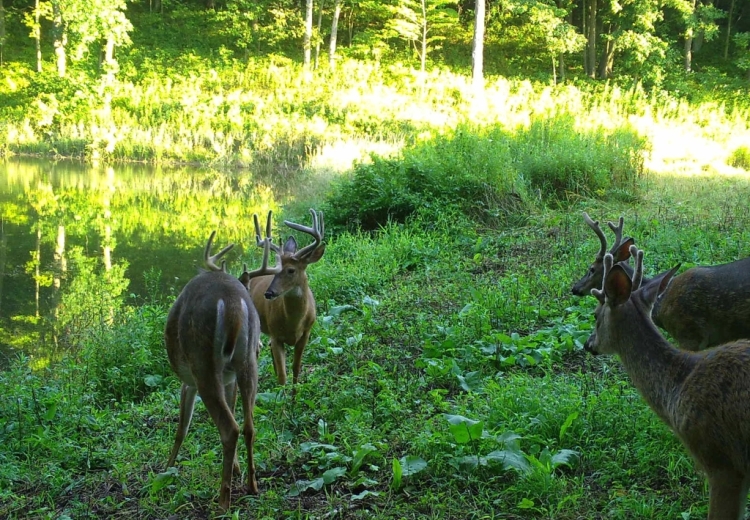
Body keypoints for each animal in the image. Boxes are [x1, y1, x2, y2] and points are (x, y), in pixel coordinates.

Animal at [164, 217, 282, 510]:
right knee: (248, 425)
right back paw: (252, 485)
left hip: (203, 363)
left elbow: (182, 427)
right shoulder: (229, 379)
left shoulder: (188, 382)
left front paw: (166, 469)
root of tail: (232, 303)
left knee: (230, 428)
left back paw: (223, 500)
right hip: (246, 362)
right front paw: (238, 468)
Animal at [247, 209, 326, 396]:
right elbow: (283, 376)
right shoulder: (276, 336)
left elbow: (296, 368)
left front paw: (294, 398)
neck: (293, 324)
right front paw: (281, 401)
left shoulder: (306, 333)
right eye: (275, 270)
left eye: (291, 270)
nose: (269, 293)